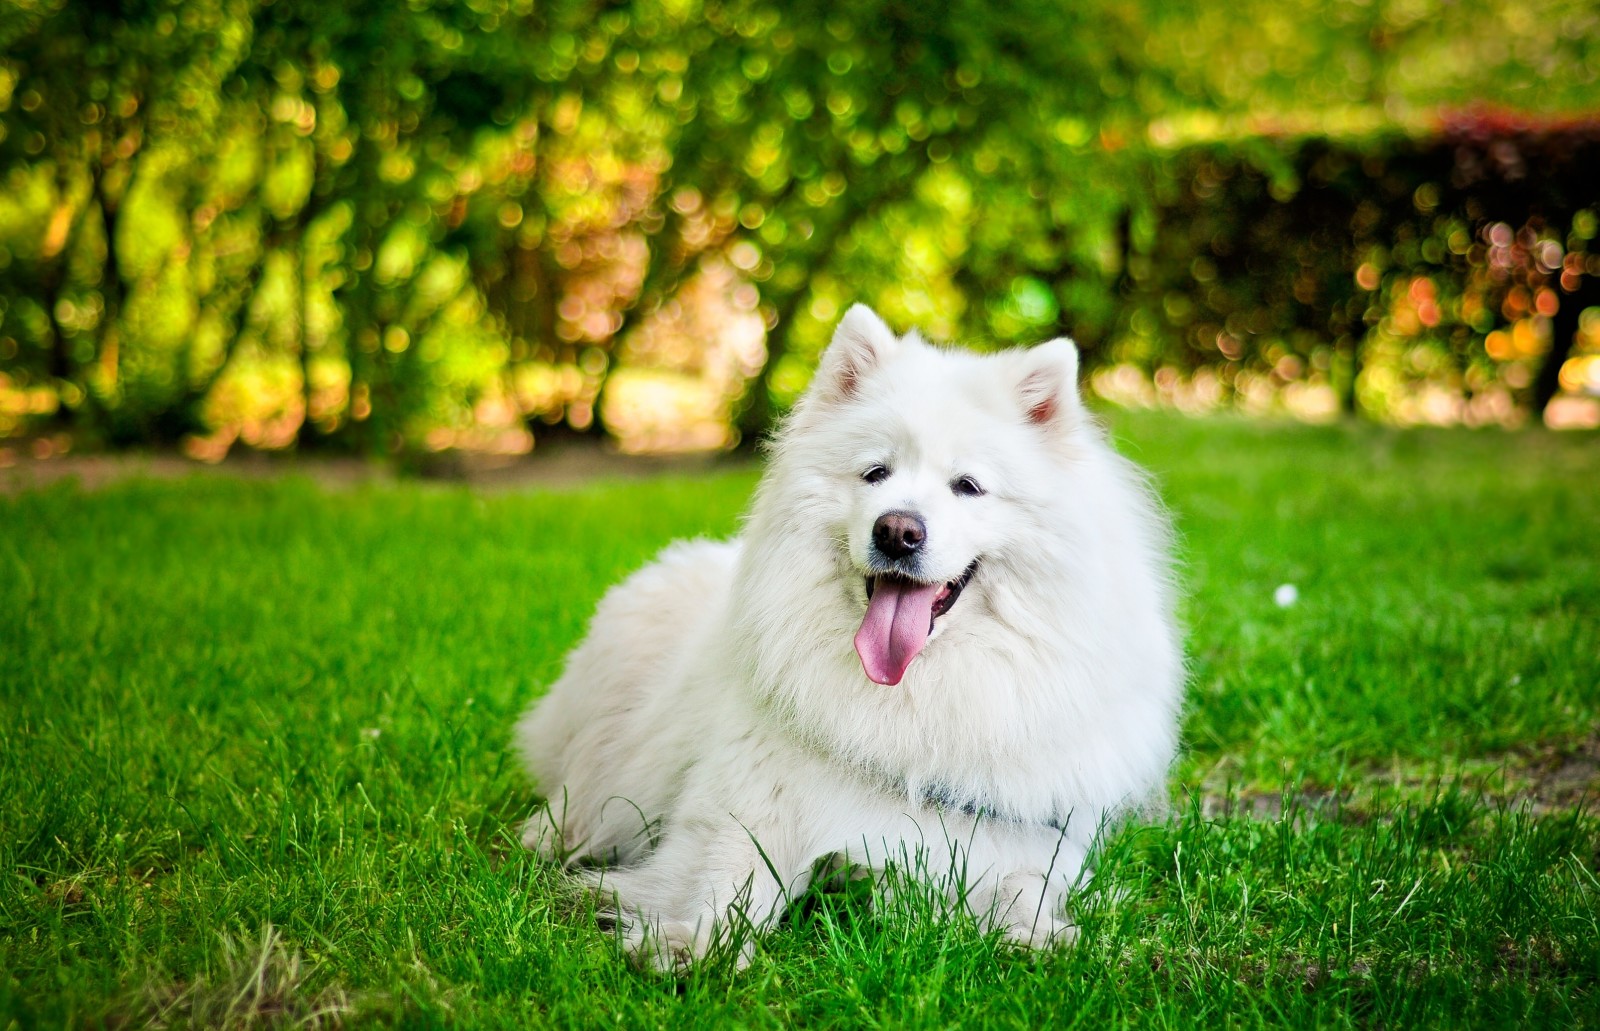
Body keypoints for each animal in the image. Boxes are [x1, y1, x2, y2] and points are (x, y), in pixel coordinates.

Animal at [518, 304, 1184, 966]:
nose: (897, 531)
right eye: (875, 473)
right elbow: (726, 877)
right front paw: (691, 941)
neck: (913, 696)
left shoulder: (1010, 836)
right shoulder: (748, 805)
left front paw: (1053, 938)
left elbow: (1021, 888)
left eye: (967, 486)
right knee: (579, 791)